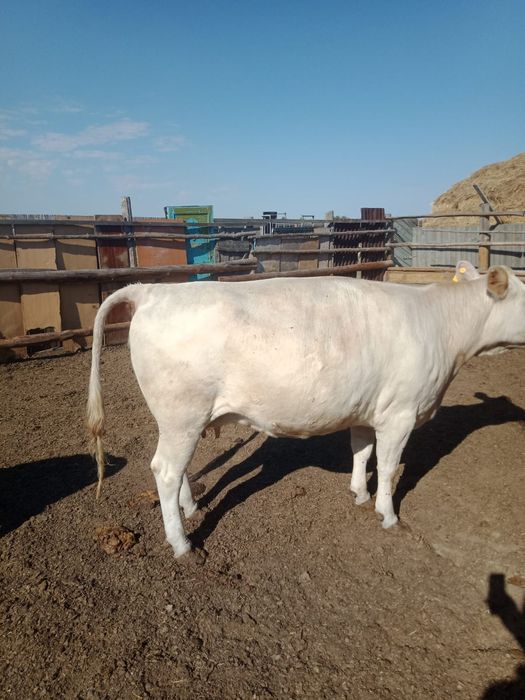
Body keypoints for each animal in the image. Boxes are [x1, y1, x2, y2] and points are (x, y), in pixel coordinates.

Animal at [87, 266, 525, 558]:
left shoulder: (367, 408)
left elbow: (362, 452)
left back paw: (191, 507)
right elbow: (388, 467)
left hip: (184, 421)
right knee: (165, 469)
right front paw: (387, 514)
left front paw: (359, 493)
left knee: (177, 470)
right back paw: (181, 543)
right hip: (183, 414)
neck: (442, 326)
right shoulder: (400, 413)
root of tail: (152, 291)